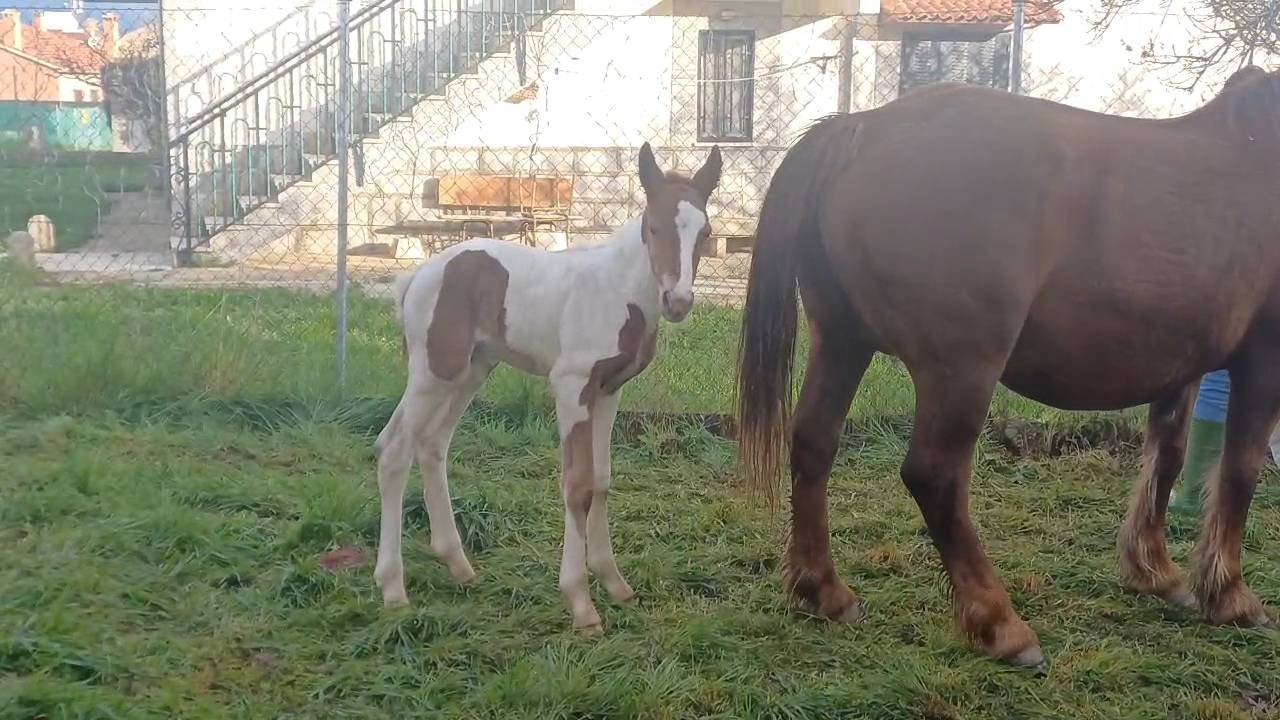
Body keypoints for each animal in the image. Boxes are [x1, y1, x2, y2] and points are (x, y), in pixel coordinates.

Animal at [374, 143, 722, 632]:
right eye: (653, 227)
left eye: (705, 233)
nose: (679, 301)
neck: (618, 290)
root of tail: (417, 276)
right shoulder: (572, 385)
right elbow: (577, 484)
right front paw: (580, 603)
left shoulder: (609, 390)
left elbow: (601, 479)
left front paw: (614, 583)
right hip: (433, 371)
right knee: (393, 449)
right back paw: (393, 588)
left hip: (470, 371)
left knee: (432, 444)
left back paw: (458, 564)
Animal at [736, 66, 1280, 665]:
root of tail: (862, 127)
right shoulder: (1262, 360)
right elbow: (1239, 472)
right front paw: (1230, 595)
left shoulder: (1182, 362)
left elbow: (1168, 456)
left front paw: (1155, 571)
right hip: (961, 369)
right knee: (935, 476)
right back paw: (1000, 624)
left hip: (841, 342)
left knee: (813, 444)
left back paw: (823, 591)